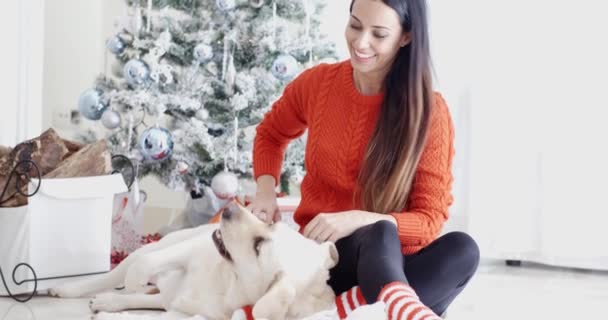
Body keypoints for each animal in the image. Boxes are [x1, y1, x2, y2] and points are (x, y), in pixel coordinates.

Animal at [49, 201, 340, 318]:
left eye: (258, 246)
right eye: (273, 224)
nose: (230, 209)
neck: (228, 281)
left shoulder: (186, 314)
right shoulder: (189, 248)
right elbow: (146, 265)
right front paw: (136, 278)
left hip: (169, 299)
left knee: (147, 298)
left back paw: (108, 302)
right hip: (162, 245)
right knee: (116, 272)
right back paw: (67, 288)